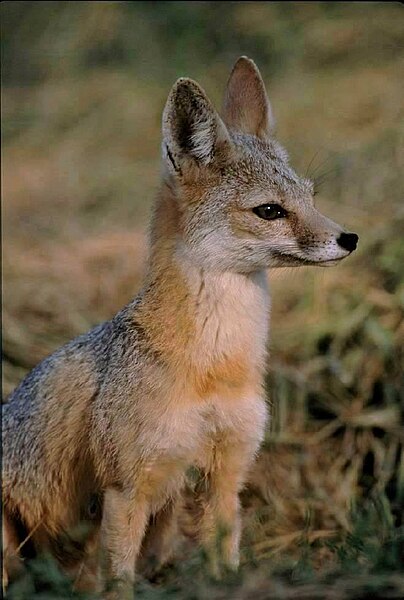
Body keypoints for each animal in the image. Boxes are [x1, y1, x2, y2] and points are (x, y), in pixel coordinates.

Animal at [2, 55, 356, 596]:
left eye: (312, 197)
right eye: (270, 211)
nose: (349, 238)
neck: (214, 366)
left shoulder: (226, 474)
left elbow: (224, 560)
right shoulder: (127, 486)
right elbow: (119, 580)